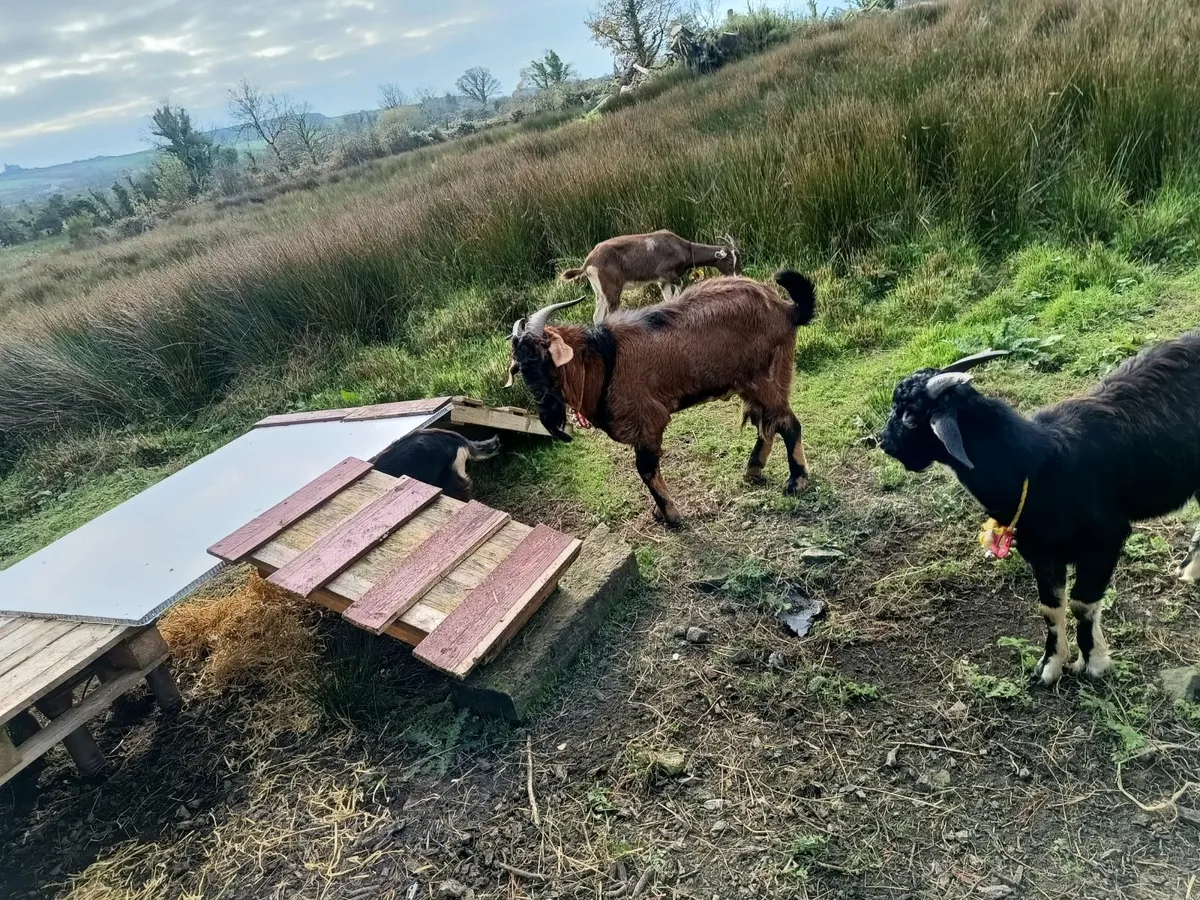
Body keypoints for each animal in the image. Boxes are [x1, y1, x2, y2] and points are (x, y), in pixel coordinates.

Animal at [506, 272, 816, 525]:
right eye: (519, 367)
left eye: (545, 356)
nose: (542, 400)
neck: (604, 358)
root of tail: (787, 309)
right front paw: (661, 511)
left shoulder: (648, 421)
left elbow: (646, 470)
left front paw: (670, 514)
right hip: (751, 383)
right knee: (767, 424)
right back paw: (753, 470)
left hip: (768, 378)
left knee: (788, 424)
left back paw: (796, 481)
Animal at [560, 230, 741, 324]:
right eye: (730, 259)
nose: (738, 276)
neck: (680, 247)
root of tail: (589, 261)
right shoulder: (667, 274)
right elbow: (679, 287)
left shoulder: (663, 282)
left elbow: (668, 299)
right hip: (613, 290)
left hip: (600, 293)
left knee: (597, 317)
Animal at [878, 336, 1200, 686]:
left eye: (911, 416)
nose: (883, 441)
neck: (1037, 463)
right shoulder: (1039, 551)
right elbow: (1050, 608)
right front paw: (1049, 666)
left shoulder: (1105, 540)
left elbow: (1082, 603)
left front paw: (1094, 663)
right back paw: (1189, 571)